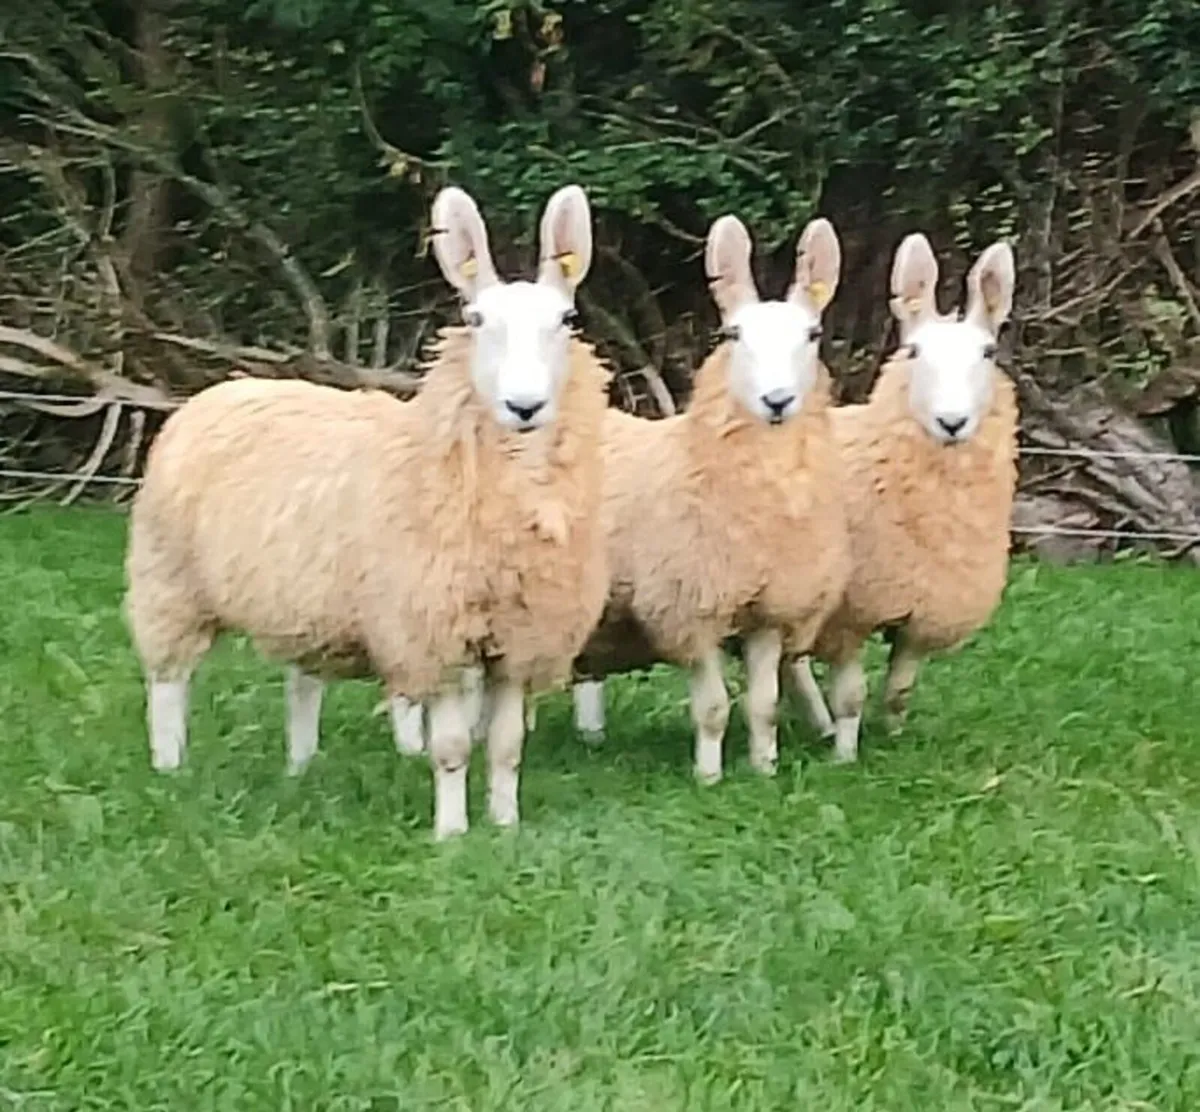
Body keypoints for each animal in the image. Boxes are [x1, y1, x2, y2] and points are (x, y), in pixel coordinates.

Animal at [124, 183, 611, 840]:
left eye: (566, 320)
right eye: (475, 320)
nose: (525, 406)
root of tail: (223, 387)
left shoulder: (520, 634)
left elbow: (507, 747)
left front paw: (505, 823)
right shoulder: (432, 631)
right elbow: (452, 748)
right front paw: (452, 833)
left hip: (301, 599)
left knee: (301, 684)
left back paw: (300, 767)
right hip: (169, 581)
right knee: (168, 680)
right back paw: (169, 766)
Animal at [569, 212, 850, 783]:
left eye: (811, 334)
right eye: (734, 334)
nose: (777, 401)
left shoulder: (769, 612)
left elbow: (763, 703)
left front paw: (764, 767)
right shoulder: (692, 607)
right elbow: (714, 706)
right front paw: (709, 775)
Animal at [785, 232, 1019, 762]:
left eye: (988, 352)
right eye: (913, 351)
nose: (952, 422)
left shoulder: (924, 608)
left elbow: (899, 689)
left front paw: (893, 737)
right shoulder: (849, 614)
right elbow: (851, 695)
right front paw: (845, 756)